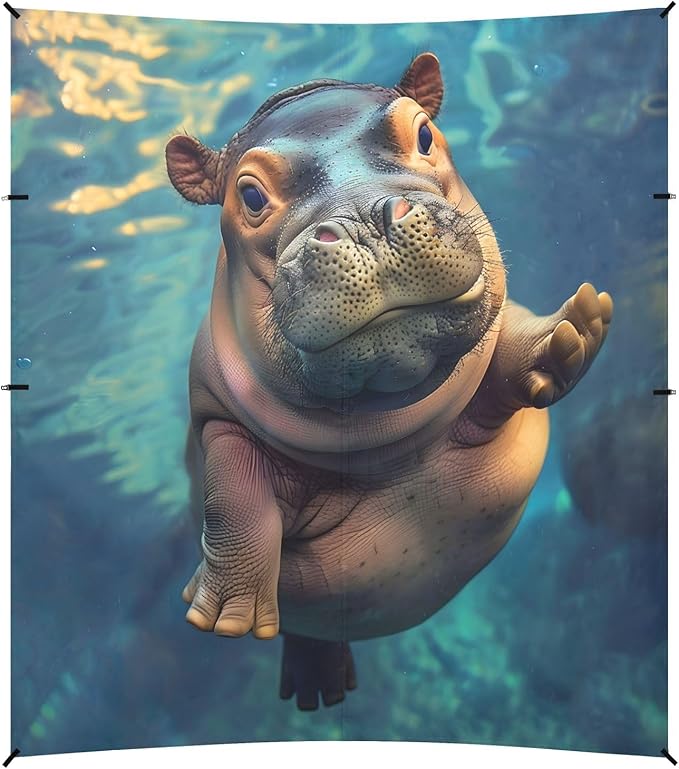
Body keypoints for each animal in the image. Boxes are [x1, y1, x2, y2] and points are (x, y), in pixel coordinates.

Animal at [165, 52, 613, 711]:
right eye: (247, 194)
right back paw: (316, 687)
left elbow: (508, 347)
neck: (391, 444)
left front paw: (573, 330)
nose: (364, 220)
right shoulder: (215, 416)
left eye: (424, 134)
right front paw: (223, 616)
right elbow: (233, 494)